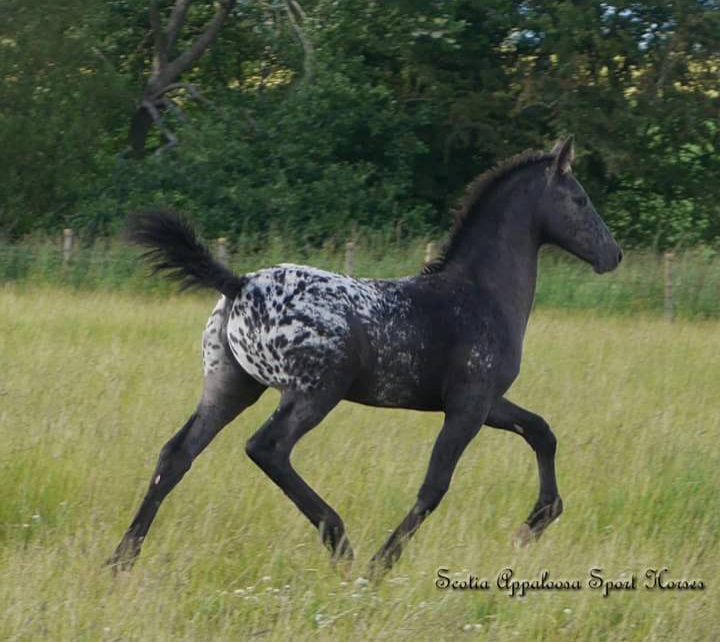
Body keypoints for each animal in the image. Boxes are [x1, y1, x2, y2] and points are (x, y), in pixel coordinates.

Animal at [108, 136, 624, 576]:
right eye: (580, 199)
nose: (613, 255)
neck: (479, 293)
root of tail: (239, 283)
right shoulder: (468, 406)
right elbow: (435, 485)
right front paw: (381, 565)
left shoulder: (487, 402)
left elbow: (541, 432)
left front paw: (535, 522)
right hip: (316, 391)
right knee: (267, 448)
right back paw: (341, 544)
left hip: (231, 386)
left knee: (176, 455)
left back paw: (122, 559)